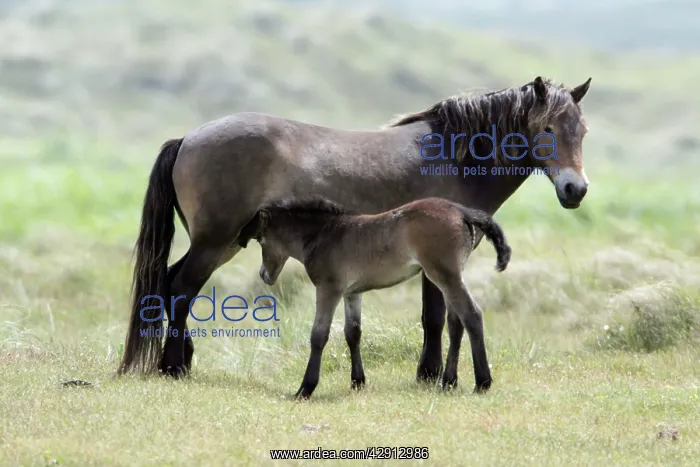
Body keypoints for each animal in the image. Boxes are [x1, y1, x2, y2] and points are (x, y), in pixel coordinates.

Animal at [236, 196, 512, 398]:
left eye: (260, 239)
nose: (264, 275)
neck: (325, 234)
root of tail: (461, 211)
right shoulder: (352, 292)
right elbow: (353, 332)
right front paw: (357, 382)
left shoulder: (328, 289)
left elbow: (319, 335)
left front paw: (305, 388)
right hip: (449, 277)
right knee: (457, 322)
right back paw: (448, 382)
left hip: (444, 274)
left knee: (471, 315)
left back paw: (482, 382)